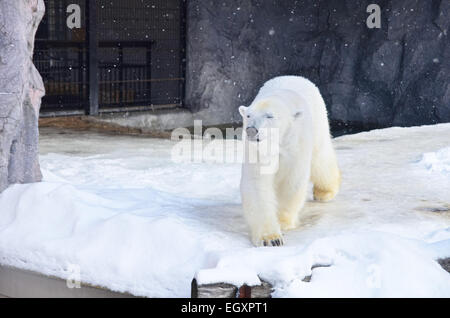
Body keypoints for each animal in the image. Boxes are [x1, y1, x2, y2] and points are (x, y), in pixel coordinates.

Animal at [239, 76, 342, 247]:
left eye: (269, 116)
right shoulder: (259, 150)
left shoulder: (296, 143)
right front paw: (271, 238)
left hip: (319, 120)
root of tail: (295, 76)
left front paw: (282, 222)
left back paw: (324, 192)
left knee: (320, 159)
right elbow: (257, 183)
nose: (251, 130)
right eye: (248, 116)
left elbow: (291, 180)